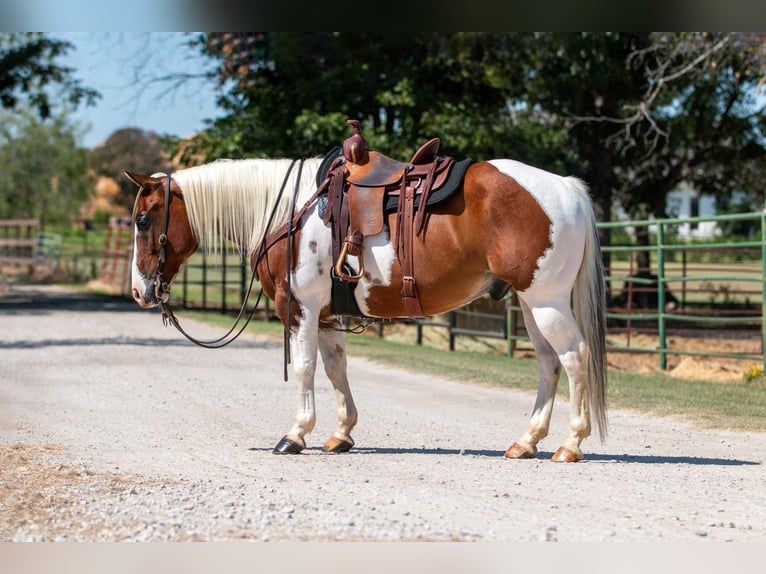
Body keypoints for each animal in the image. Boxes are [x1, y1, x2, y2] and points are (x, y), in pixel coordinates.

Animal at [126, 132, 608, 464]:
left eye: (143, 220)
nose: (138, 291)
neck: (287, 212)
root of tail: (565, 187)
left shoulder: (300, 308)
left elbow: (305, 368)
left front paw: (295, 434)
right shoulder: (324, 314)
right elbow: (336, 369)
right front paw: (340, 434)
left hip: (546, 301)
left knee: (574, 358)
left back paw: (570, 444)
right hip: (530, 303)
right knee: (548, 364)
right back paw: (526, 442)